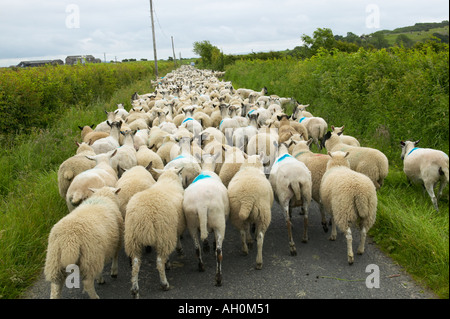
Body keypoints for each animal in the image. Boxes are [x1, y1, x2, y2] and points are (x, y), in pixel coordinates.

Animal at [124, 166, 185, 298]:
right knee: (159, 261)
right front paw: (177, 252)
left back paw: (135, 290)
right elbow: (178, 237)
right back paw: (164, 284)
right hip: (164, 234)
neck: (168, 180)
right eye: (180, 173)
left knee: (135, 264)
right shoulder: (175, 227)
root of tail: (144, 215)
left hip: (133, 238)